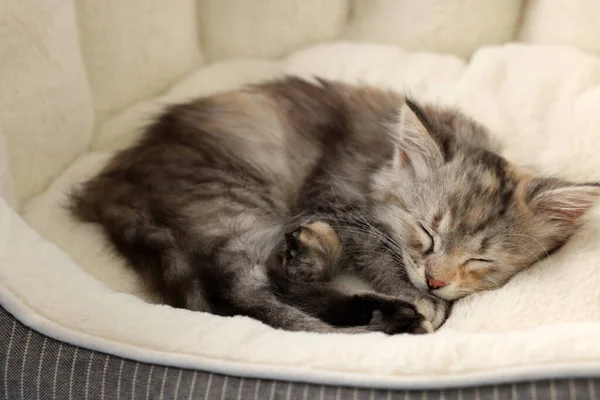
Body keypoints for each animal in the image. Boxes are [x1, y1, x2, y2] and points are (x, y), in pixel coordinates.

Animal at [70, 77, 600, 334]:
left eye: (480, 261)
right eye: (427, 233)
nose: (435, 281)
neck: (381, 162)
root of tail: (114, 185)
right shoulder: (332, 198)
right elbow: (382, 254)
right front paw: (421, 301)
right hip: (232, 202)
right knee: (247, 292)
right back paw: (387, 313)